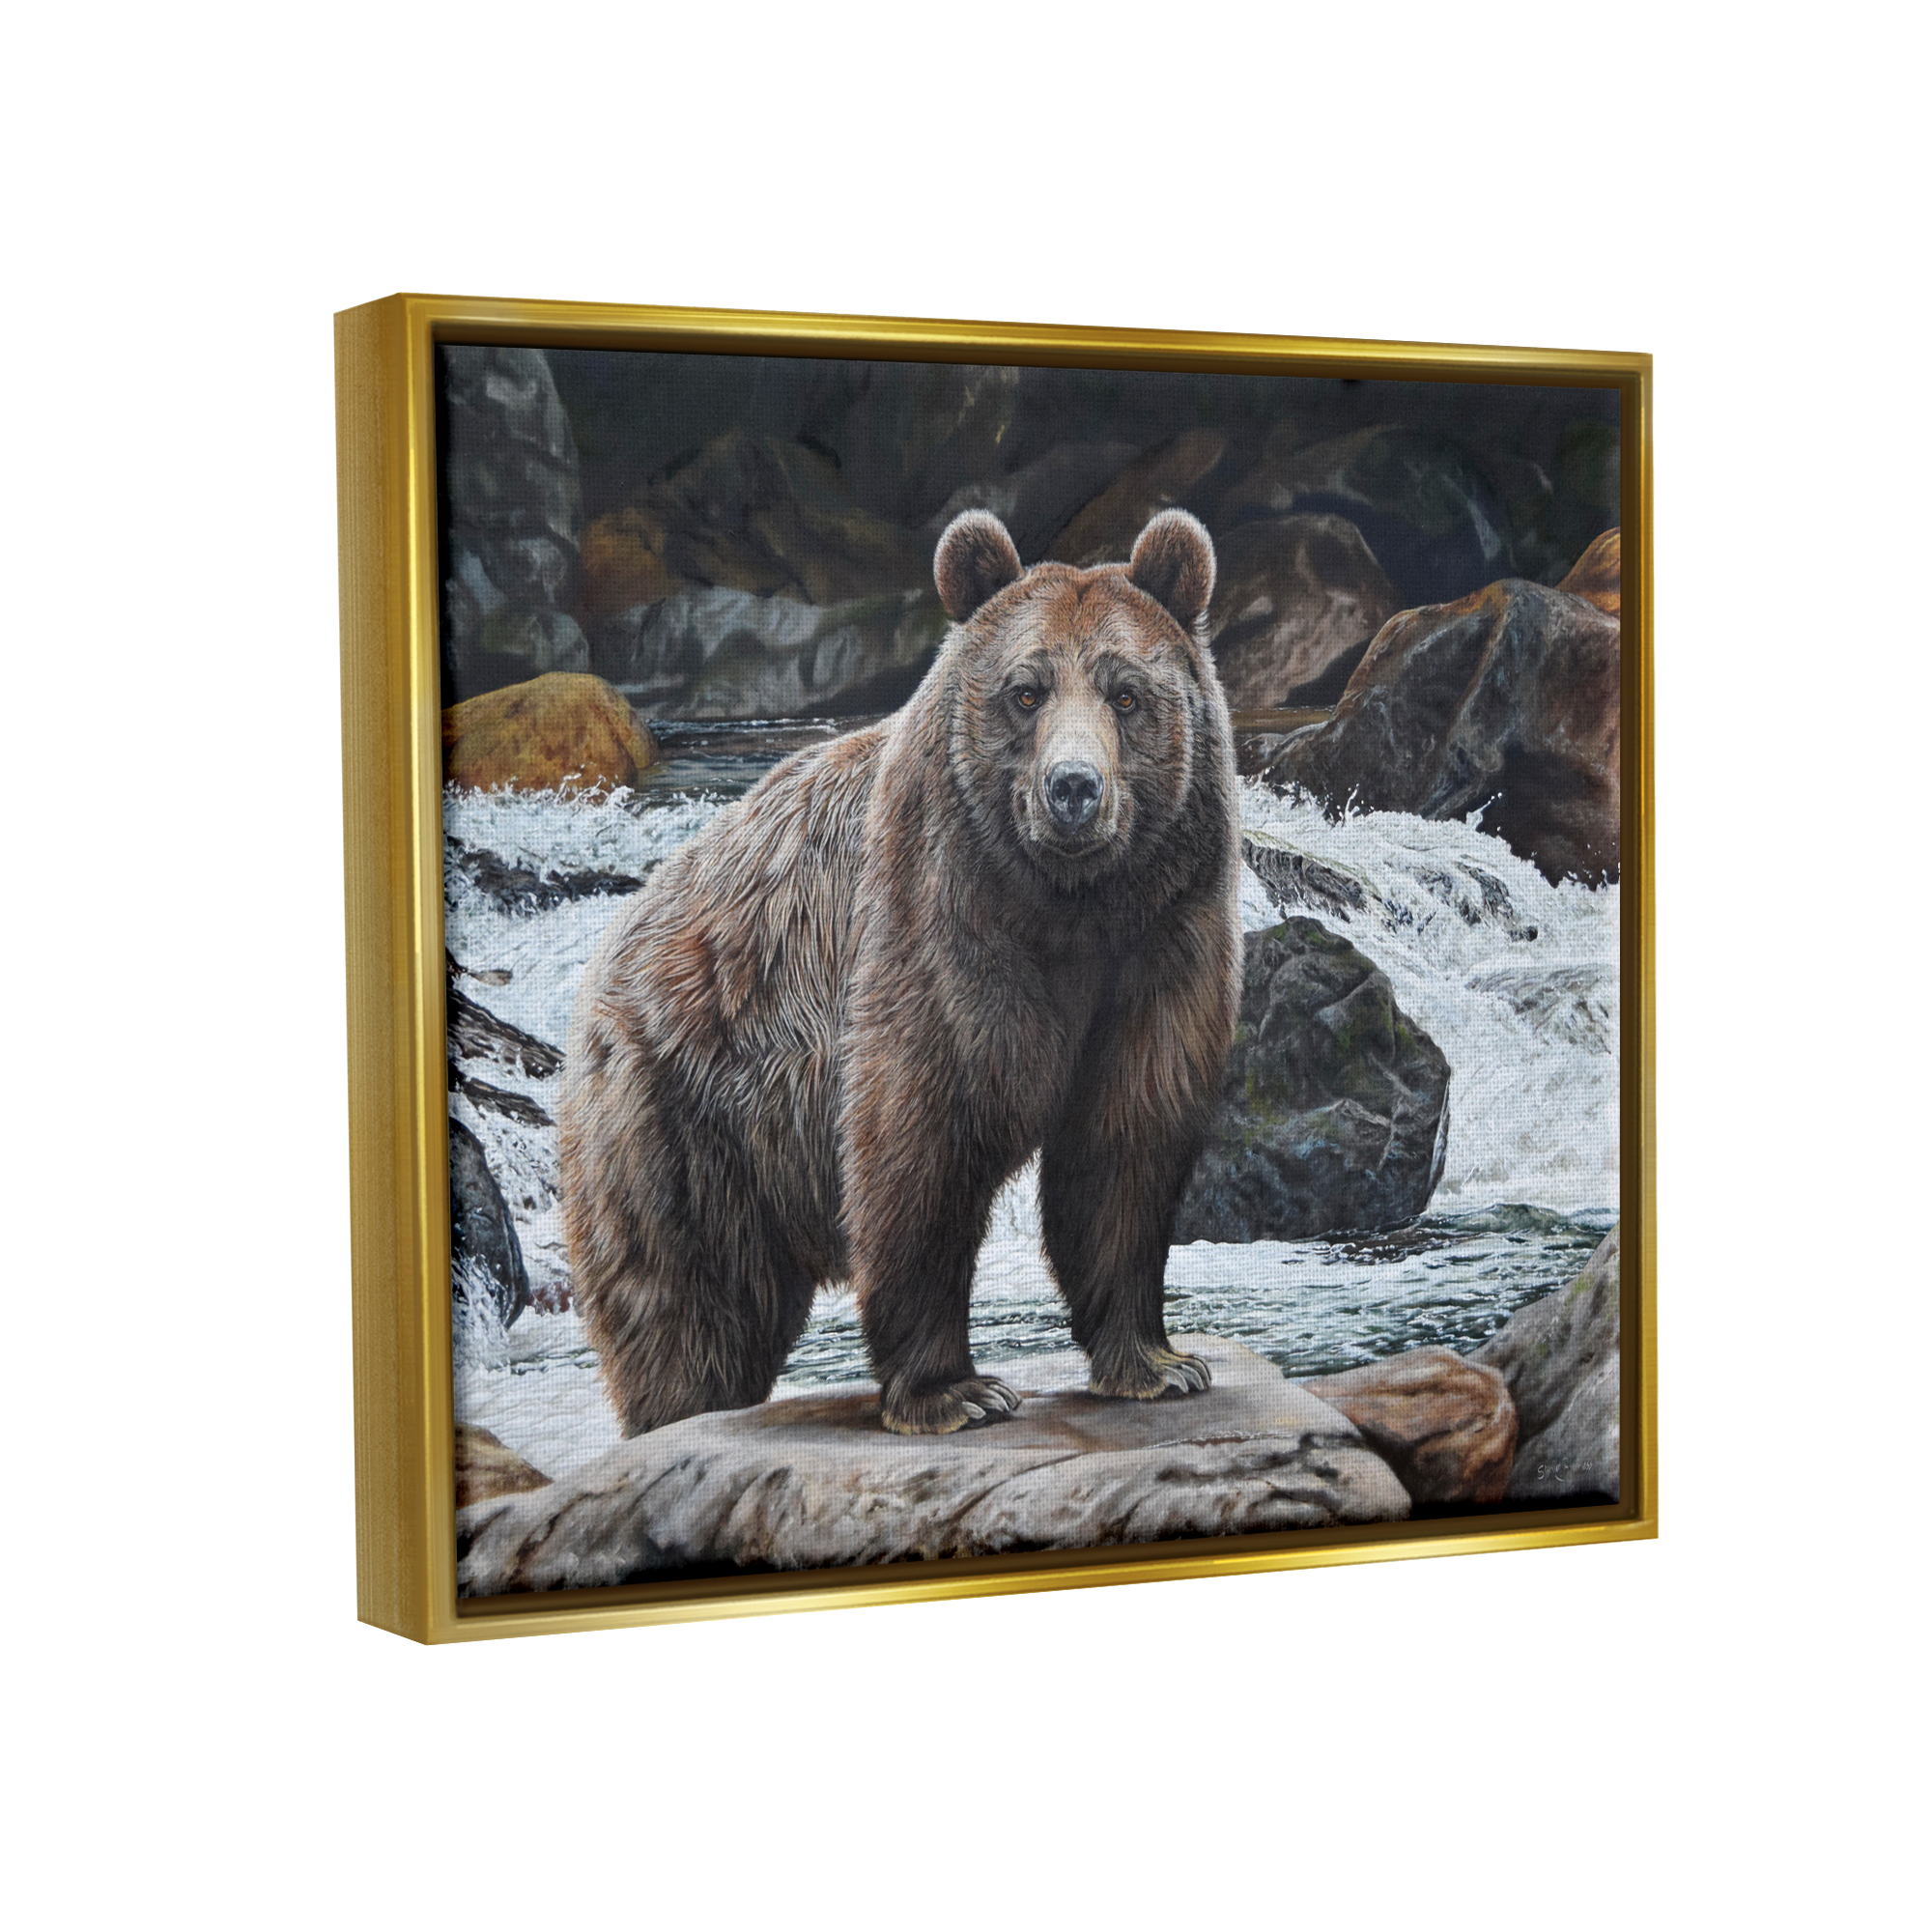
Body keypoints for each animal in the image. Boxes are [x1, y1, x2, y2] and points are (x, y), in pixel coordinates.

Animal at [558, 507, 1243, 1436]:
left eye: (1127, 694)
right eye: (1025, 691)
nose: (1073, 789)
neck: (1073, 907)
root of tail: (608, 954)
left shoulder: (1165, 938)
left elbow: (1124, 1142)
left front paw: (1157, 1362)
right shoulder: (939, 921)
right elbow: (921, 1139)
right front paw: (955, 1390)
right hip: (679, 1113)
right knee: (686, 1308)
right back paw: (679, 1412)